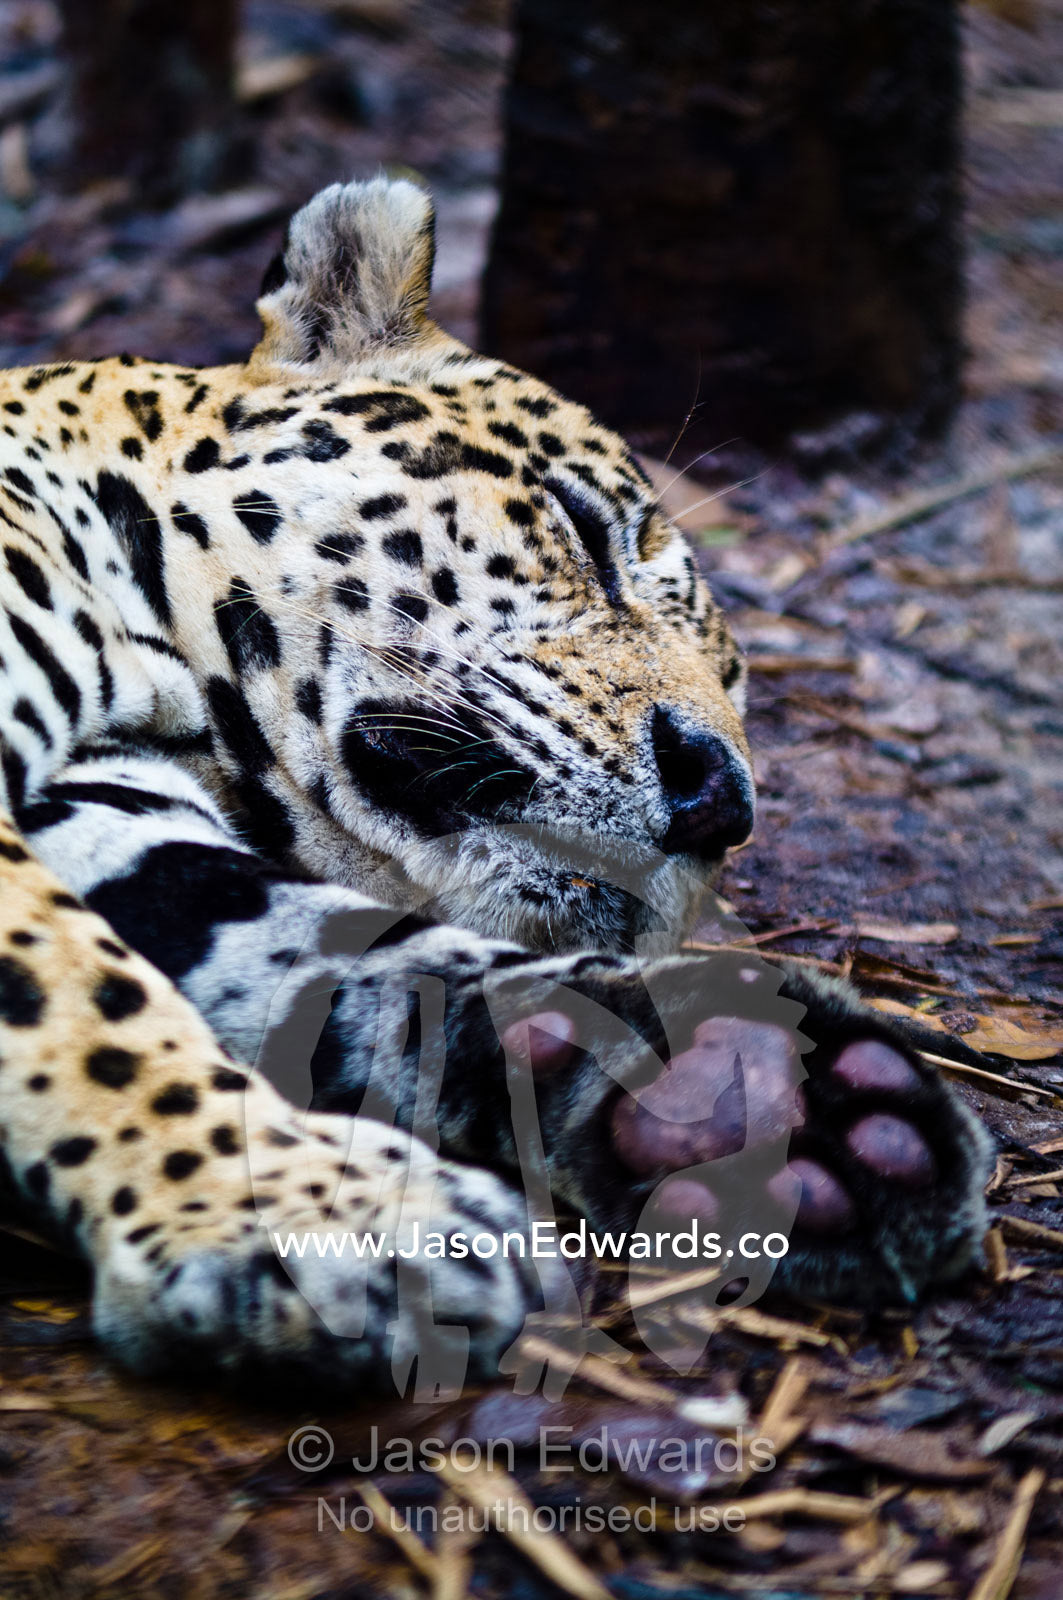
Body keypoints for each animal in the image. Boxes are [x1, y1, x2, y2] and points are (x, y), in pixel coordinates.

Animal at [0, 177, 992, 1393]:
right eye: (580, 529)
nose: (721, 802)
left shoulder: (104, 806)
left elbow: (323, 943)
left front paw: (751, 1090)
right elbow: (79, 992)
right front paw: (317, 1222)